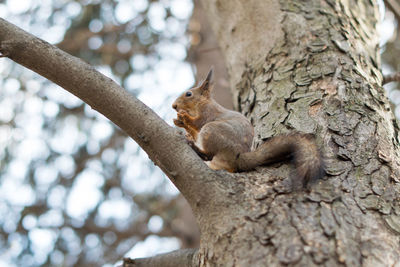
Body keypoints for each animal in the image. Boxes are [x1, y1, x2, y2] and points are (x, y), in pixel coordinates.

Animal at [173, 68, 324, 187]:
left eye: (188, 94)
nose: (173, 106)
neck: (200, 104)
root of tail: (237, 158)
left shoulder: (208, 112)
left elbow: (199, 122)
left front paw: (184, 117)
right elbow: (194, 130)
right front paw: (179, 123)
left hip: (211, 130)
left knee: (208, 155)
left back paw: (194, 147)